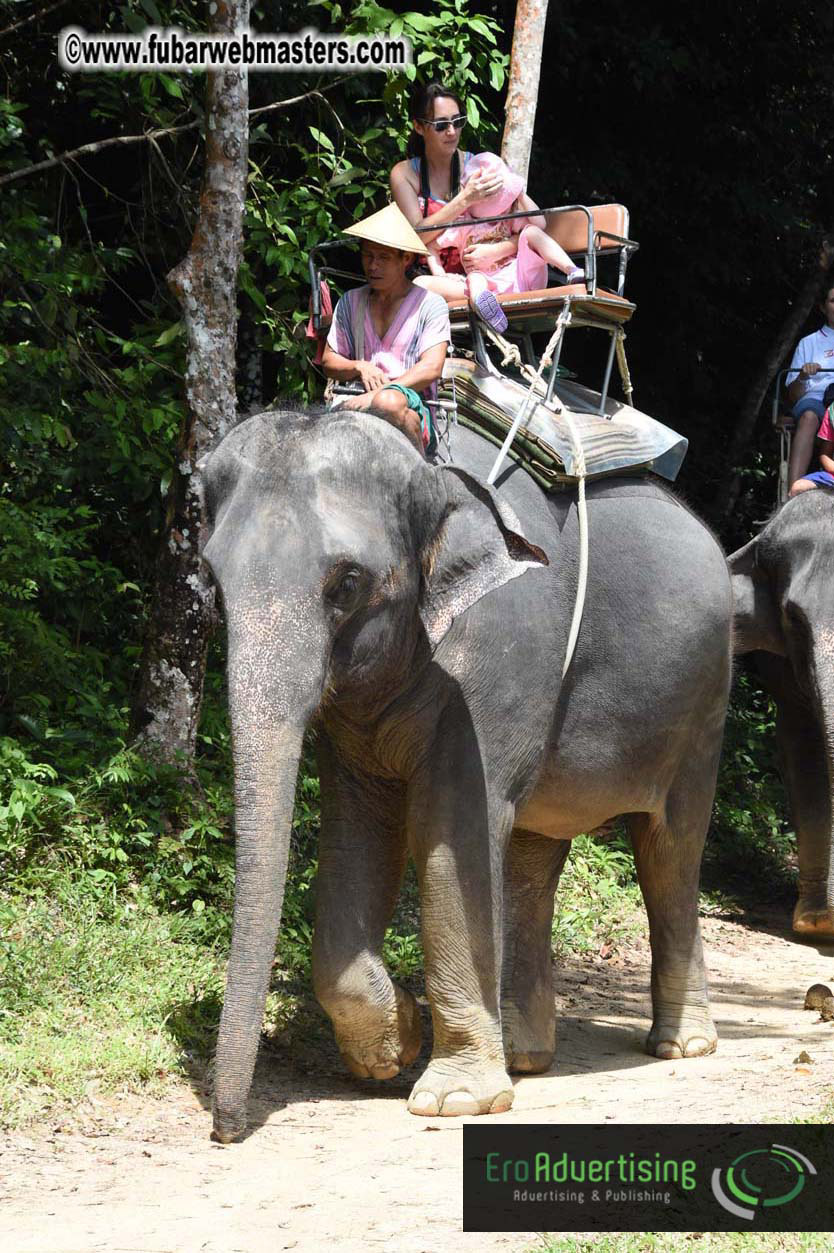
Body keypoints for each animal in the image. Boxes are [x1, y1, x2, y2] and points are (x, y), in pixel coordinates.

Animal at [201, 404, 732, 1143]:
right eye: (213, 580)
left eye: (346, 585)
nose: (227, 1130)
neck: (423, 466)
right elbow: (359, 829)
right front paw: (393, 1046)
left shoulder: (494, 659)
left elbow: (451, 826)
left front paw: (453, 1099)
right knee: (536, 855)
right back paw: (527, 1055)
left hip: (703, 702)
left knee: (670, 852)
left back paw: (681, 1046)